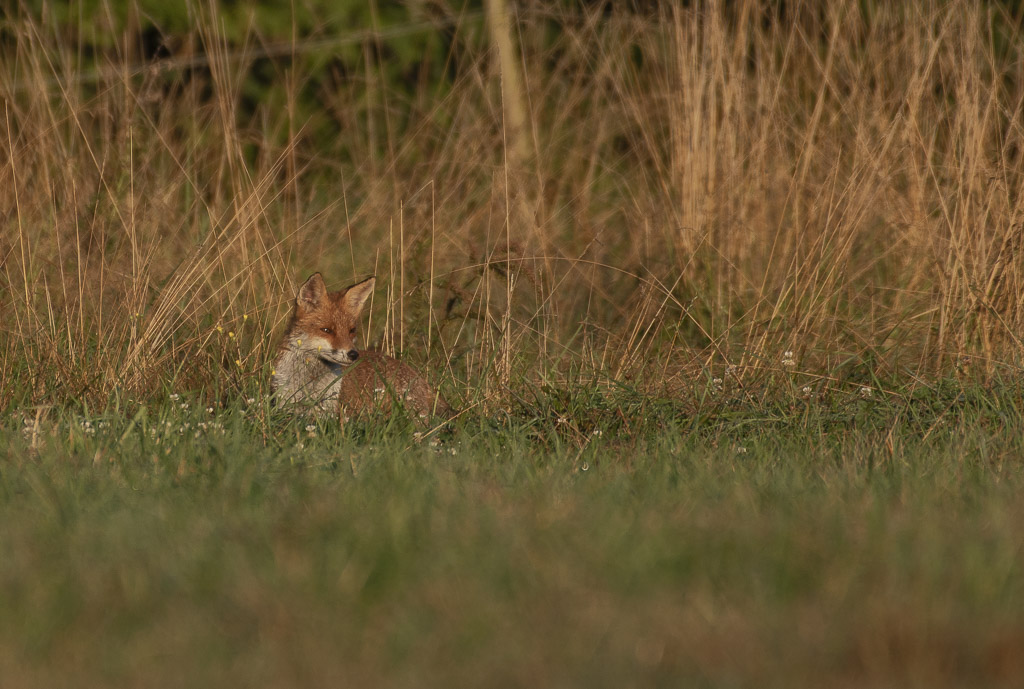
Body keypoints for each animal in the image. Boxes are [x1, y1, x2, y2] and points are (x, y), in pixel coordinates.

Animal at [272, 272, 452, 423]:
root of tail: (419, 377)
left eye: (351, 330)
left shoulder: (330, 413)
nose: (353, 354)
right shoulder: (284, 404)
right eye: (327, 330)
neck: (309, 384)